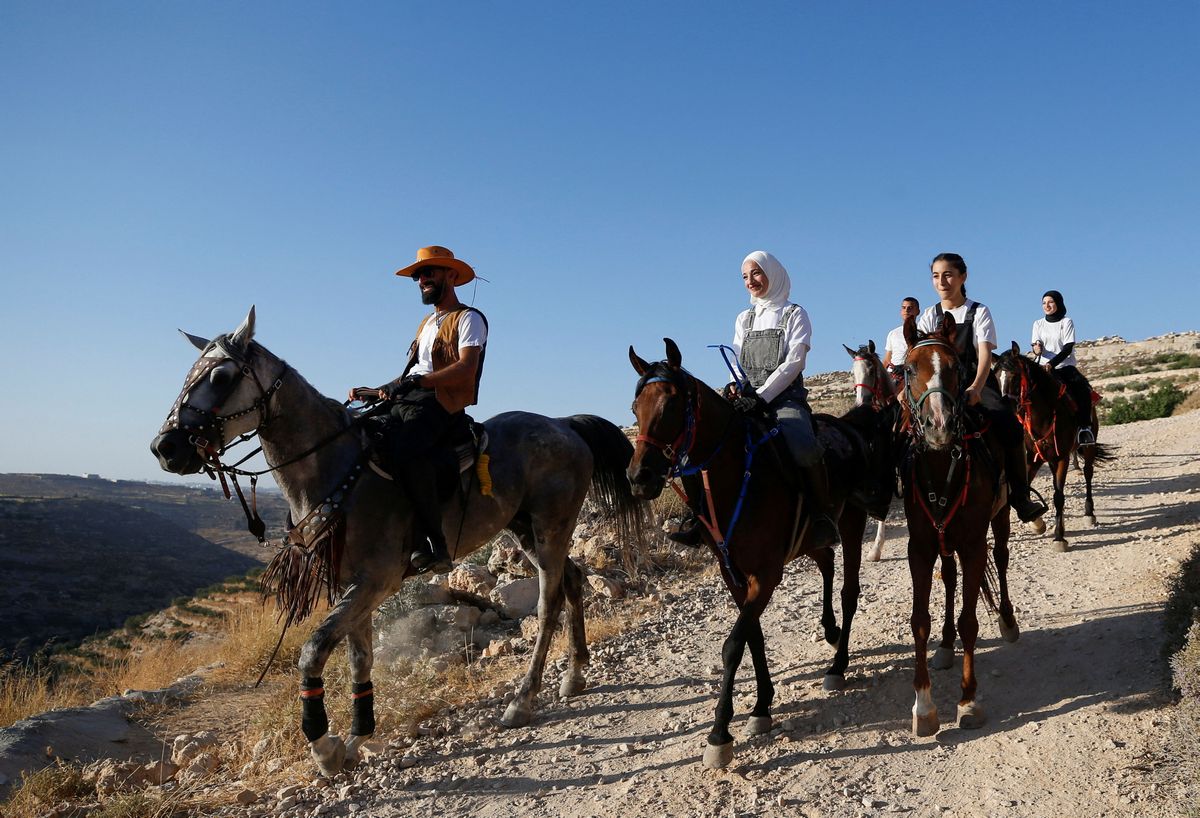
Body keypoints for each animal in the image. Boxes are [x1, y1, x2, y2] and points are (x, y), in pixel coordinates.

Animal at [157, 305, 657, 772]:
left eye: (221, 376)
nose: (165, 448)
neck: (337, 468)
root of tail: (565, 424)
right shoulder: (351, 586)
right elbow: (359, 657)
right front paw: (356, 738)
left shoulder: (376, 581)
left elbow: (313, 651)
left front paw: (323, 747)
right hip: (527, 531)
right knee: (572, 580)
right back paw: (574, 676)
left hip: (551, 528)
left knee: (549, 602)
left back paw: (522, 700)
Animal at [628, 335, 892, 762]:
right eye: (635, 409)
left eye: (669, 406)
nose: (639, 477)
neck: (734, 478)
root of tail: (850, 426)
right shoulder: (733, 573)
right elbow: (753, 637)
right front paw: (762, 705)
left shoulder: (766, 574)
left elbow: (733, 645)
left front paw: (720, 733)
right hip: (808, 539)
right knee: (826, 561)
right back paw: (830, 630)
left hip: (851, 524)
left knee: (849, 590)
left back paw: (837, 665)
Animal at [902, 311, 1022, 734]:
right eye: (908, 369)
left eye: (954, 368)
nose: (938, 424)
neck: (941, 468)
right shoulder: (920, 549)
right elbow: (919, 621)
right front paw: (923, 705)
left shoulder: (972, 546)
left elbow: (971, 621)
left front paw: (968, 700)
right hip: (944, 542)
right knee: (950, 579)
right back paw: (944, 644)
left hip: (1000, 518)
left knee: (1001, 558)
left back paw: (1008, 621)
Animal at [988, 340, 1108, 551]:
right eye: (995, 376)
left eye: (1015, 375)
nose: (1004, 408)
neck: (1043, 416)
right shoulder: (1032, 458)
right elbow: (1020, 491)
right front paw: (1037, 523)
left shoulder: (1061, 458)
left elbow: (1058, 496)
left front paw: (1059, 537)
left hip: (1088, 447)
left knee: (1088, 472)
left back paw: (1089, 513)